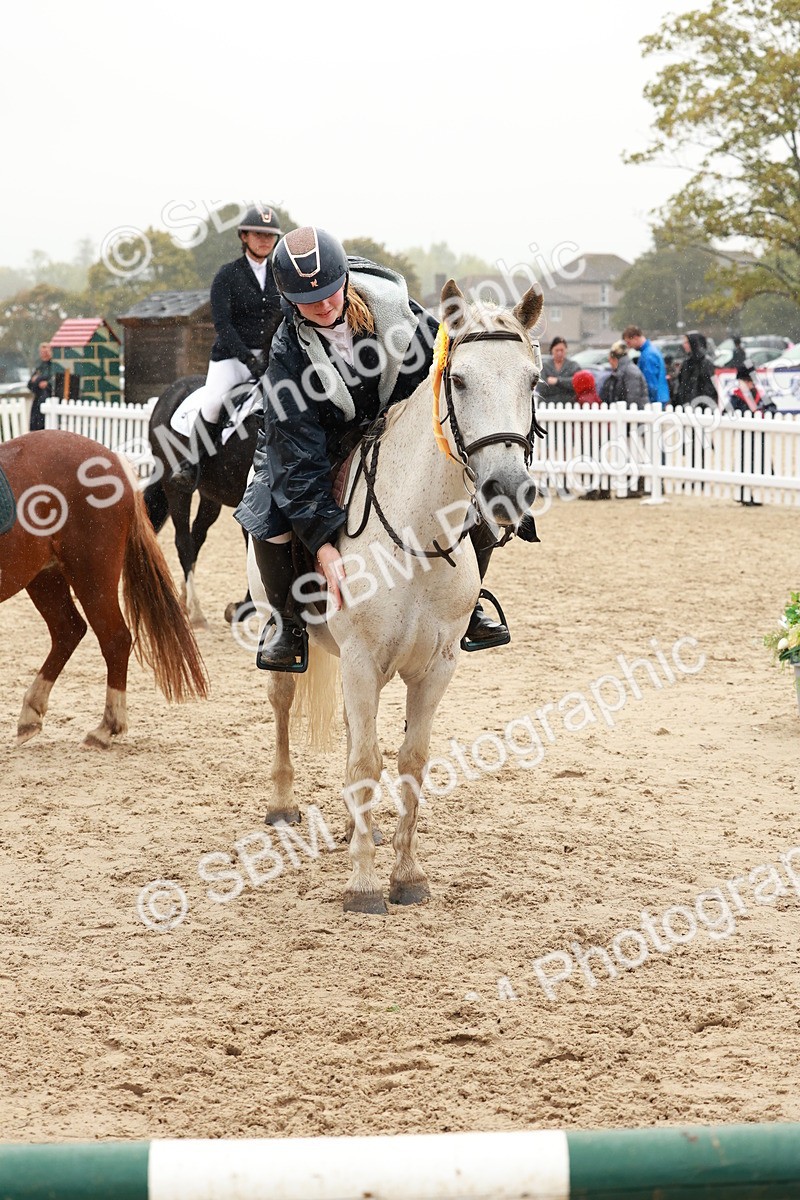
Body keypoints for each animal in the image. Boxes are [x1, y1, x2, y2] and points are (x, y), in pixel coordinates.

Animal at [0, 430, 208, 747]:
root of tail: (111, 459)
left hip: (92, 574)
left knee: (114, 638)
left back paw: (107, 726)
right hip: (45, 576)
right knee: (69, 630)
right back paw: (31, 714)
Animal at [143, 375, 260, 628]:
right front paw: (245, 606)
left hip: (210, 495)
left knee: (197, 535)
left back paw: (184, 597)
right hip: (176, 488)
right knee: (183, 541)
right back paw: (195, 610)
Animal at [248, 280, 544, 914]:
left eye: (532, 380)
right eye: (460, 380)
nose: (507, 489)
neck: (417, 535)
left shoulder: (436, 667)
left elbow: (410, 760)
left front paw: (407, 874)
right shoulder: (363, 661)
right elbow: (366, 761)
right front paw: (362, 884)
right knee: (283, 701)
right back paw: (284, 804)